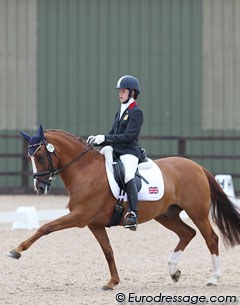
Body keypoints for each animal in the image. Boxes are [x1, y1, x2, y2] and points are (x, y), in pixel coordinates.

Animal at [8, 125, 240, 288]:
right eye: (29, 157)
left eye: (39, 156)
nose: (39, 187)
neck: (84, 170)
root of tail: (197, 166)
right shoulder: (94, 224)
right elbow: (108, 251)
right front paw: (112, 282)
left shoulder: (79, 217)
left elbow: (44, 228)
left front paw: (16, 251)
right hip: (166, 215)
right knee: (187, 233)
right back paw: (173, 271)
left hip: (197, 212)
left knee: (211, 238)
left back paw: (214, 278)